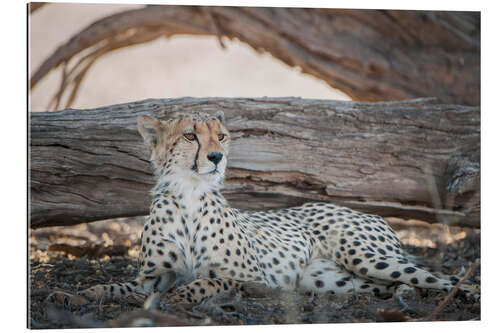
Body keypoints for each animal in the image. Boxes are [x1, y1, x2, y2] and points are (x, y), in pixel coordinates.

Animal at [48, 111, 478, 304]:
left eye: (221, 136)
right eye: (190, 136)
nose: (217, 157)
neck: (189, 195)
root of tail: (368, 212)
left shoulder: (254, 278)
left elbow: (205, 281)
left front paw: (177, 299)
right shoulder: (151, 277)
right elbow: (115, 286)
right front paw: (75, 294)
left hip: (366, 256)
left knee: (442, 278)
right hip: (332, 280)